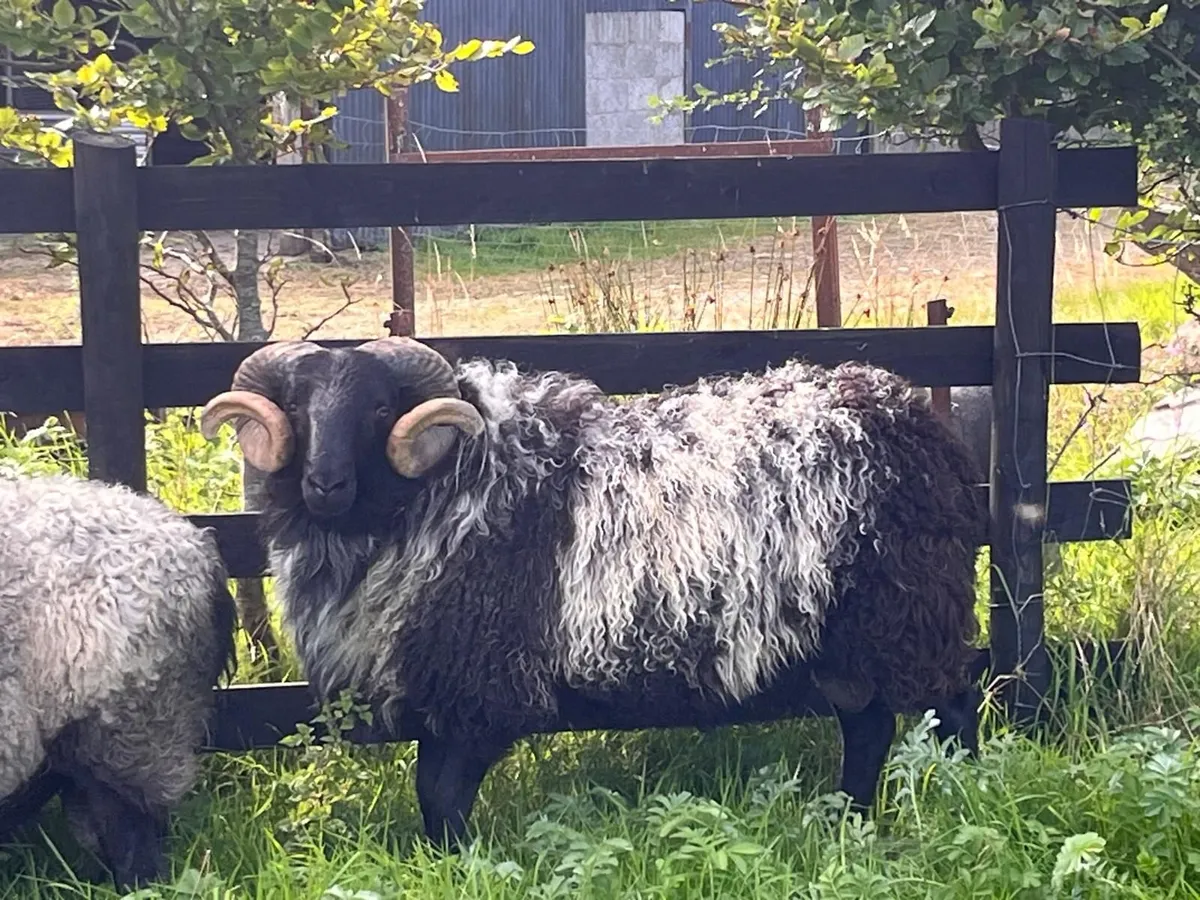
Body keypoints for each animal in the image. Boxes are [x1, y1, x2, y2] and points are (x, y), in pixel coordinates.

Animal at [200, 337, 987, 846]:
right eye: (297, 405)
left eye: (378, 408)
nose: (324, 483)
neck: (449, 484)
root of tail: (911, 413)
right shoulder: (437, 679)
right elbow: (431, 792)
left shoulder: (484, 678)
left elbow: (443, 793)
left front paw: (460, 862)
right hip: (847, 634)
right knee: (870, 725)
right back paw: (846, 820)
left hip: (909, 609)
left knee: (952, 704)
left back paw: (963, 798)